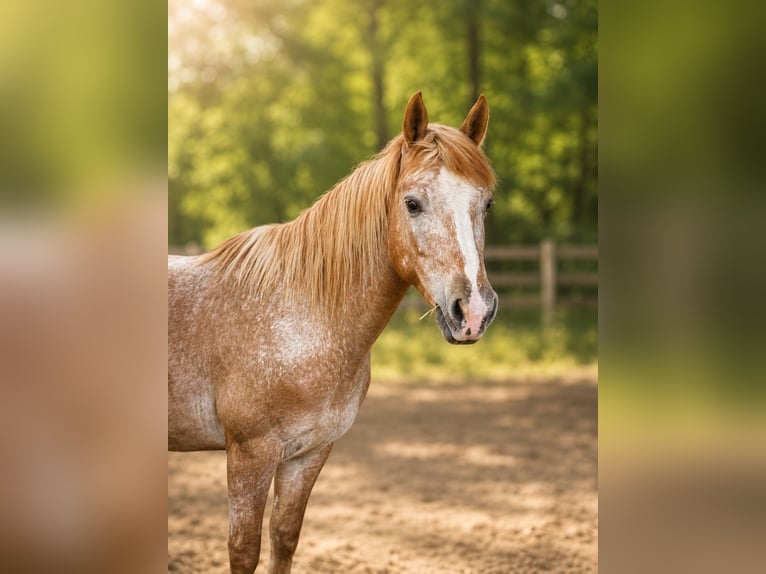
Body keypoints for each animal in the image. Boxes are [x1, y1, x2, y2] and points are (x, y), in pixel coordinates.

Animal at [168, 92, 498, 574]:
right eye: (412, 203)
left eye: (486, 204)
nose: (473, 310)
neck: (299, 318)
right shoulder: (249, 454)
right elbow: (243, 550)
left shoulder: (308, 454)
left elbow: (284, 538)